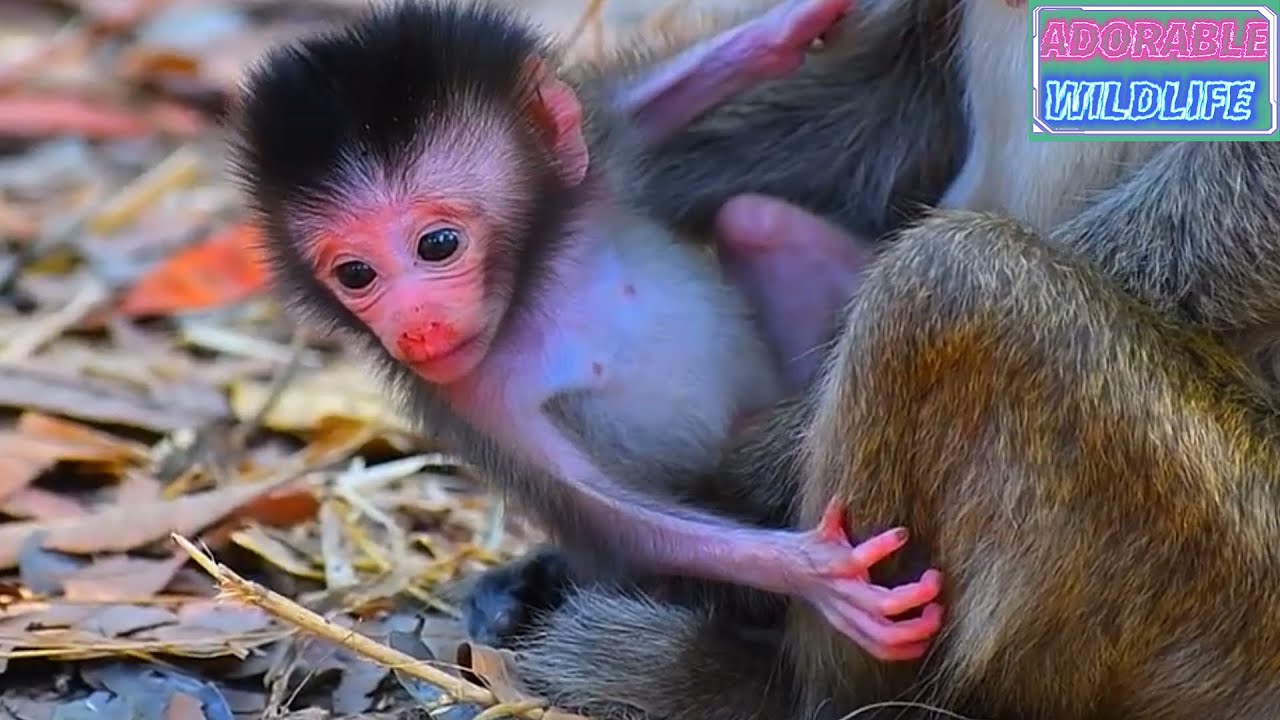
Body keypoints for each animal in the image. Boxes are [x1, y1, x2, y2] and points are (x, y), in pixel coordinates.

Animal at [227, 0, 946, 662]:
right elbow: (612, 516)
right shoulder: (474, 396)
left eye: (437, 244)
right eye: (355, 274)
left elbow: (634, 111)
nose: (413, 326)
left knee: (756, 222)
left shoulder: (593, 172)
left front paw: (788, 29)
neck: (537, 294)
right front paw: (813, 572)